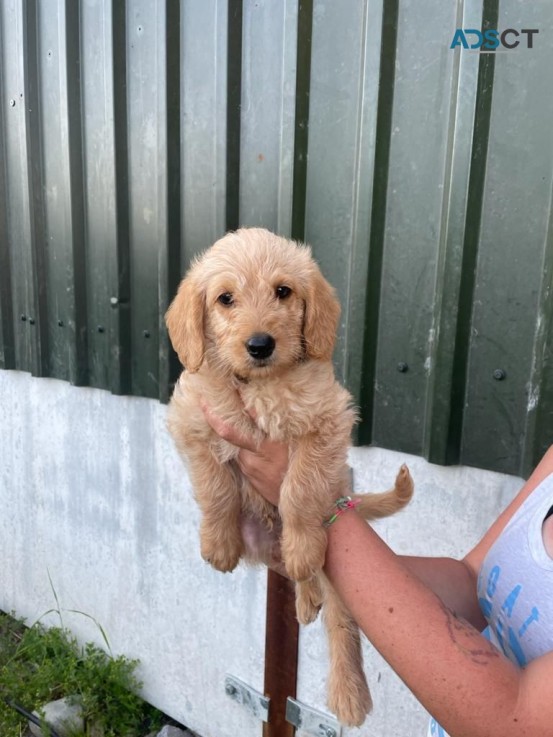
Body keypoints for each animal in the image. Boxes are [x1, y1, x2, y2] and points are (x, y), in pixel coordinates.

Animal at [166, 226, 412, 724]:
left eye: (283, 291)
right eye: (225, 299)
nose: (260, 345)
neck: (260, 386)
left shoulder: (326, 423)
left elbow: (298, 490)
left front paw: (301, 545)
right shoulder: (191, 423)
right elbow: (215, 488)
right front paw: (219, 543)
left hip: (342, 571)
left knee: (341, 622)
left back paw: (348, 692)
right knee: (306, 582)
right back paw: (304, 595)